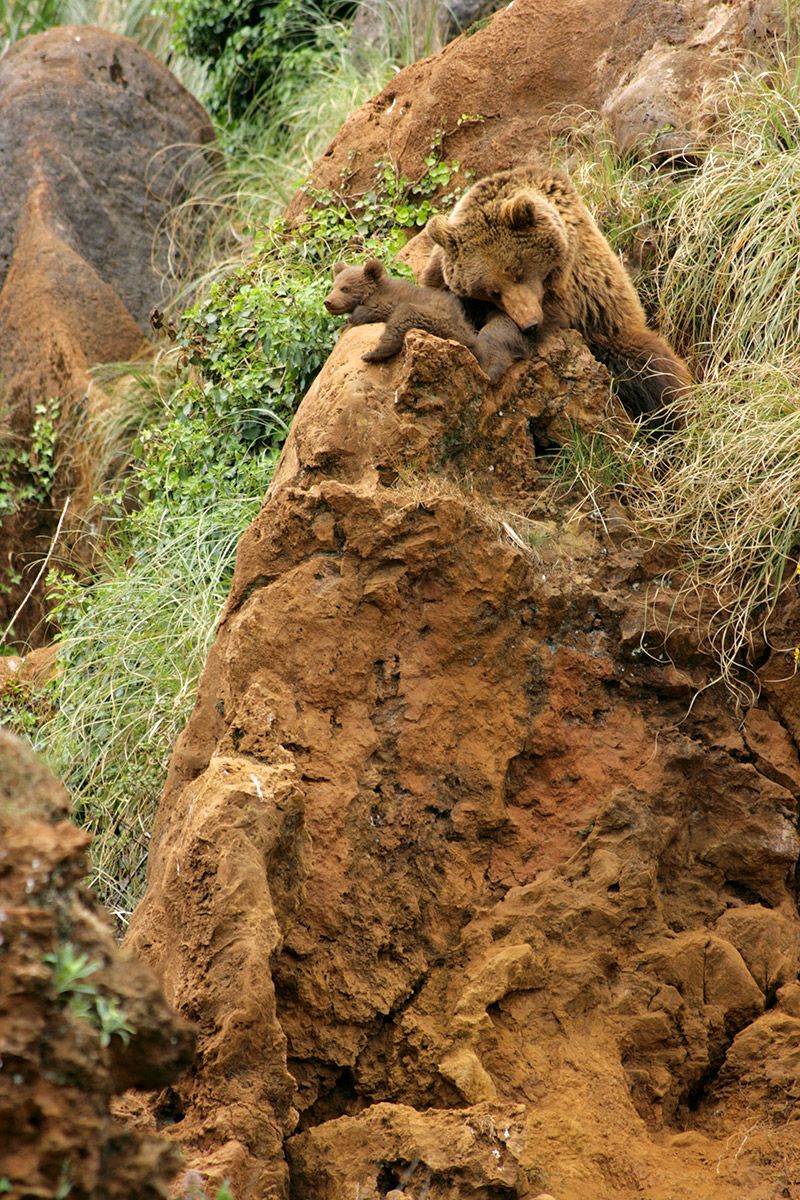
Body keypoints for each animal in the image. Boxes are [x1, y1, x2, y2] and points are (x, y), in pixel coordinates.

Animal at [321, 256, 479, 360]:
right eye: (333, 287)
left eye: (345, 288)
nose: (327, 302)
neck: (371, 293)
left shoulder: (388, 300)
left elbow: (375, 310)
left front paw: (351, 319)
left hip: (438, 319)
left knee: (401, 320)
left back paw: (371, 354)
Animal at [422, 164, 690, 417]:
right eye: (491, 290)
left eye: (518, 271)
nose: (530, 323)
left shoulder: (572, 290)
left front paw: (488, 359)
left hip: (612, 331)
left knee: (653, 370)